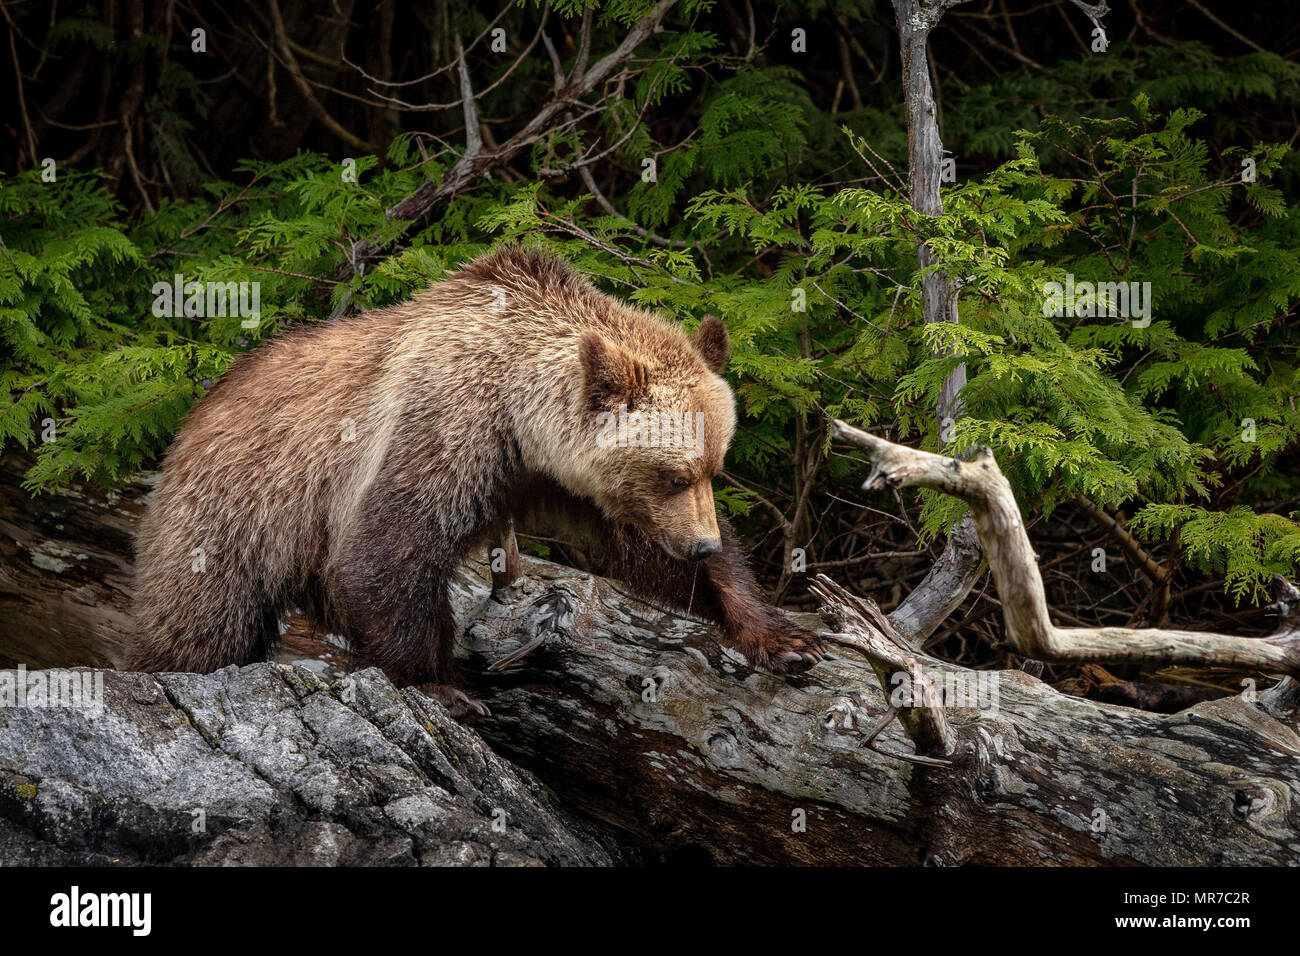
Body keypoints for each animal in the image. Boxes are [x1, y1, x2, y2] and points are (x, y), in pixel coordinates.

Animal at [129, 244, 821, 712]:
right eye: (672, 475)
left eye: (713, 469)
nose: (701, 542)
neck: (521, 416)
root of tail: (192, 417)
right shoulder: (449, 425)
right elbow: (390, 548)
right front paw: (441, 684)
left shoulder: (560, 480)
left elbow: (640, 548)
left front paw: (781, 636)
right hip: (233, 512)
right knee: (202, 622)